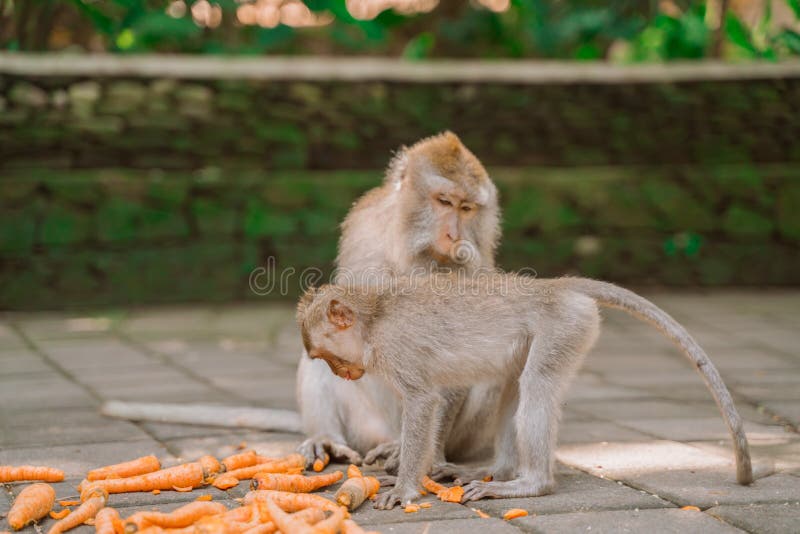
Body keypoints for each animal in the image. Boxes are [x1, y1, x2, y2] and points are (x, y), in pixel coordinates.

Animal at [296, 276, 752, 510]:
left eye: (327, 356)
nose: (342, 372)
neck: (375, 319)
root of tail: (556, 286)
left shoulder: (397, 350)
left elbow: (424, 402)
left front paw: (405, 487)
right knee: (512, 386)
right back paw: (499, 470)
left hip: (566, 327)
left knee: (537, 385)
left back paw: (532, 484)